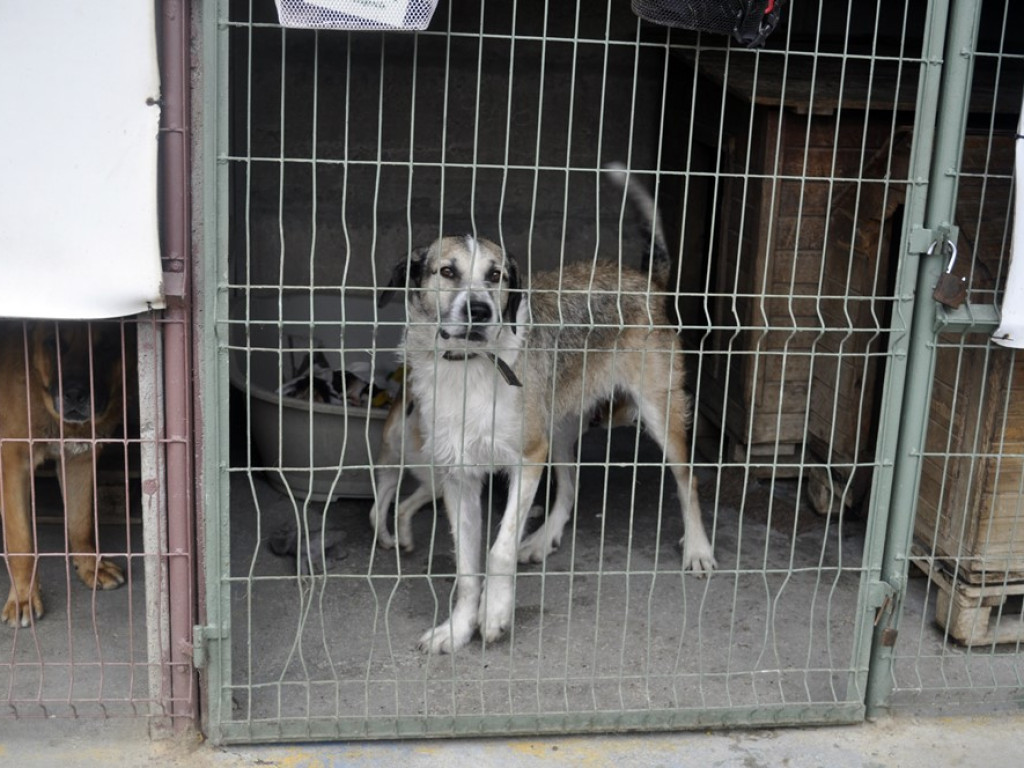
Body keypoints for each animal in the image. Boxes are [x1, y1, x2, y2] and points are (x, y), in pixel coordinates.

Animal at [0, 321, 126, 626]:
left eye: (106, 346)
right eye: (53, 342)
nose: (75, 394)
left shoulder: (79, 459)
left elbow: (80, 522)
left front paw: (91, 567)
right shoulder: (13, 462)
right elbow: (21, 541)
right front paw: (23, 596)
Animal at [382, 165, 712, 651]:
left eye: (496, 275)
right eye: (447, 271)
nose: (480, 310)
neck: (469, 366)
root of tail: (641, 279)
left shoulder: (527, 457)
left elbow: (498, 549)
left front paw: (495, 616)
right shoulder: (460, 477)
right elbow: (466, 568)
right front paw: (458, 629)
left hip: (658, 412)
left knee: (688, 480)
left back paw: (698, 550)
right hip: (558, 429)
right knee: (569, 488)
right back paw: (544, 538)